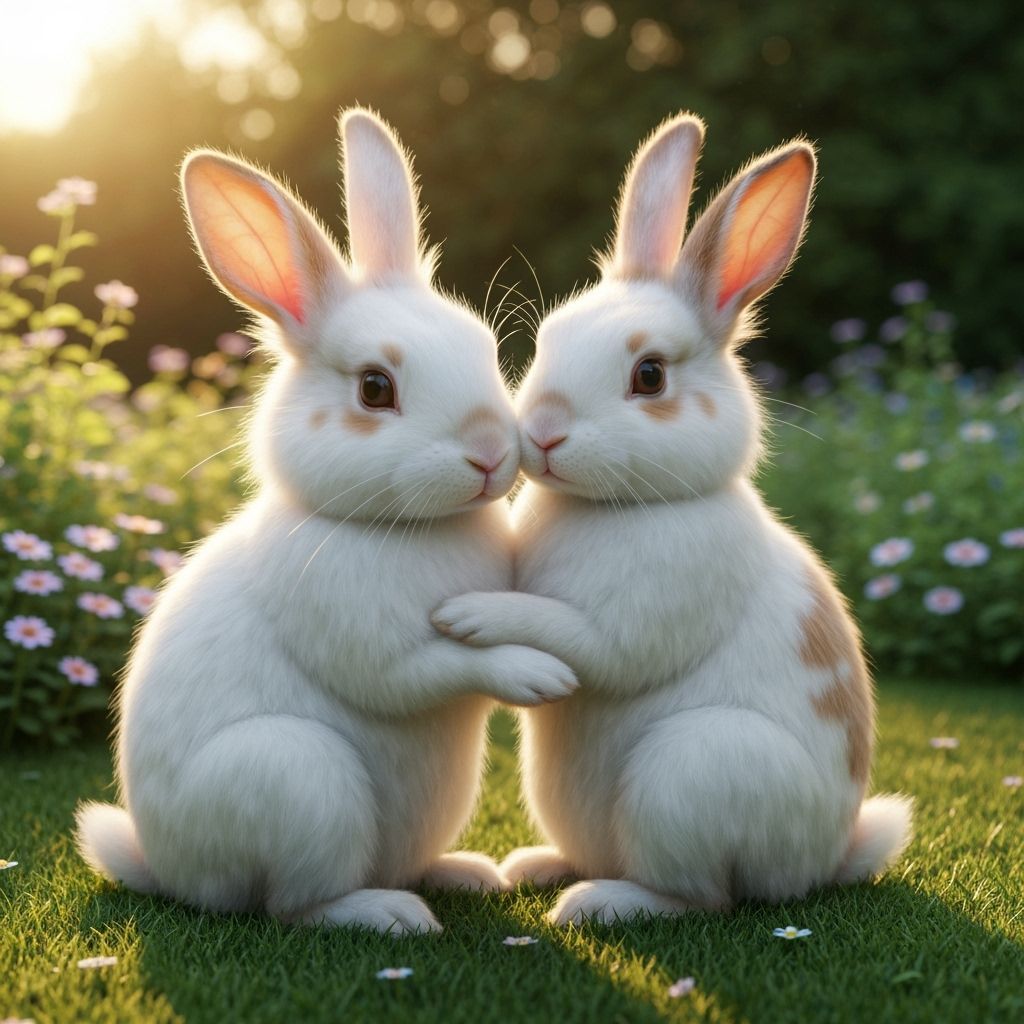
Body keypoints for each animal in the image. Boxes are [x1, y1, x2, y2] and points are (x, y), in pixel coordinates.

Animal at [75, 108, 579, 935]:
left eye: (481, 346)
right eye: (375, 388)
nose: (489, 453)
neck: (404, 525)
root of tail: (169, 869)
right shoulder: (369, 645)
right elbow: (434, 669)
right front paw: (535, 675)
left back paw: (464, 873)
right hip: (301, 779)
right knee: (294, 904)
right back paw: (390, 914)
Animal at [432, 113, 913, 926]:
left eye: (649, 375)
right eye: (551, 338)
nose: (544, 433)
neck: (618, 506)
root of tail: (827, 857)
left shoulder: (629, 628)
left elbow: (571, 633)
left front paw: (472, 615)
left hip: (689, 773)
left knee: (702, 897)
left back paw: (597, 903)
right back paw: (537, 865)